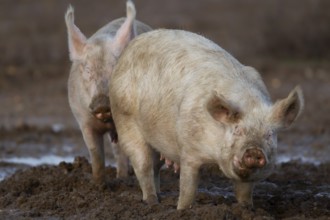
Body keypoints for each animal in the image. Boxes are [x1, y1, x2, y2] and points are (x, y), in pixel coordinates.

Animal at [65, 0, 153, 183]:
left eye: (115, 68)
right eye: (88, 71)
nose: (101, 102)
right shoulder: (83, 121)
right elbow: (96, 154)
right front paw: (98, 183)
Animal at [109, 29, 304, 210]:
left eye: (269, 135)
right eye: (237, 130)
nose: (255, 151)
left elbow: (244, 191)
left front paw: (247, 209)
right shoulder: (189, 150)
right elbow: (187, 187)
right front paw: (182, 210)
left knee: (155, 166)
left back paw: (159, 197)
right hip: (125, 119)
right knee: (143, 165)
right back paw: (152, 202)